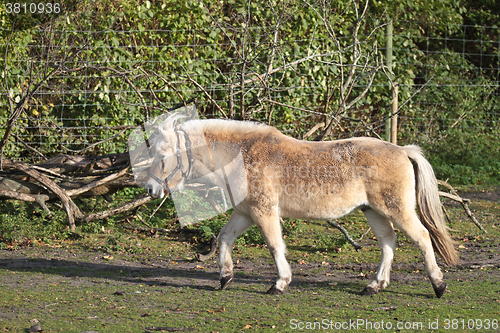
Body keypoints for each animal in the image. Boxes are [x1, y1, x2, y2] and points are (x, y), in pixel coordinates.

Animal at [144, 113, 458, 296]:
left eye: (163, 156)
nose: (150, 189)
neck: (243, 157)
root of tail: (403, 150)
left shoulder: (263, 212)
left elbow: (274, 246)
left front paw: (280, 283)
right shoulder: (245, 213)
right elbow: (224, 238)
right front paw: (225, 277)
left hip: (396, 209)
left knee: (422, 238)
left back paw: (439, 285)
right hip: (374, 211)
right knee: (388, 243)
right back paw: (374, 286)